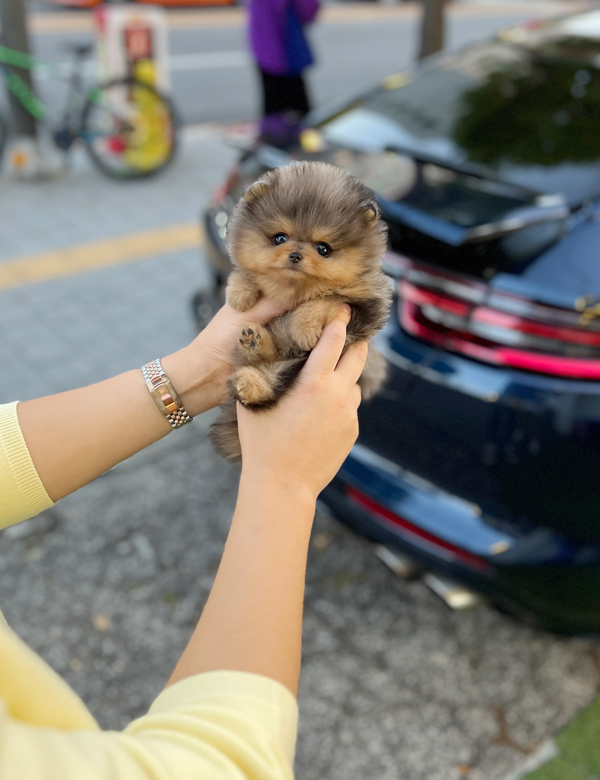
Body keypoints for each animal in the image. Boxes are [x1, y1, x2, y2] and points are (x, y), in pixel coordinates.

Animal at [209, 160, 392, 464]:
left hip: (292, 368)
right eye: (279, 238)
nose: (295, 255)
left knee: (268, 388)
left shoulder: (366, 304)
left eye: (323, 249)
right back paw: (253, 347)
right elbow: (247, 272)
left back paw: (251, 372)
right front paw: (240, 293)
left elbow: (326, 299)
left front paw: (303, 329)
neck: (294, 289)